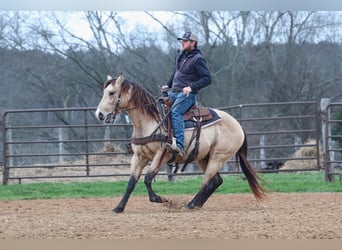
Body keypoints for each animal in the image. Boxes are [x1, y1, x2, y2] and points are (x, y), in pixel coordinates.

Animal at [95, 73, 266, 213]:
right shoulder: (139, 156)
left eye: (111, 93)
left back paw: (190, 204)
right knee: (216, 181)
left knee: (207, 181)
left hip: (218, 157)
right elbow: (131, 182)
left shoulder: (162, 154)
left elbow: (148, 178)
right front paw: (119, 207)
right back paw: (196, 204)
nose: (99, 114)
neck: (150, 121)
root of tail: (238, 125)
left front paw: (160, 199)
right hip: (204, 157)